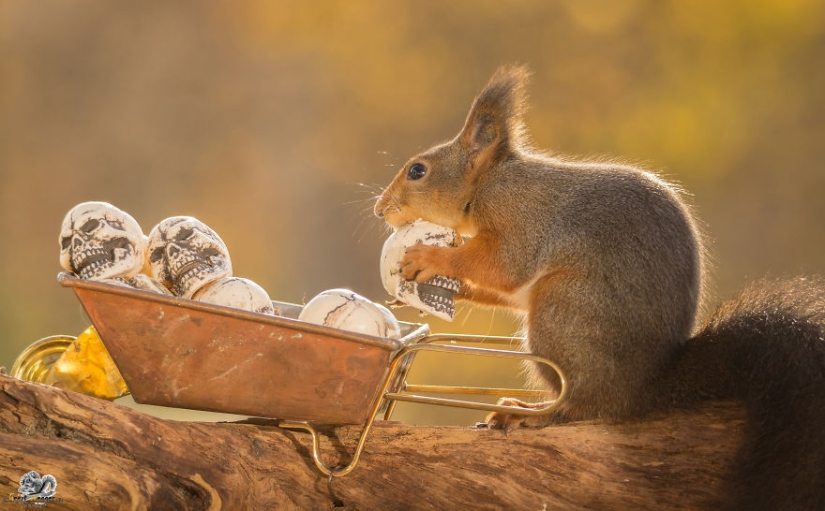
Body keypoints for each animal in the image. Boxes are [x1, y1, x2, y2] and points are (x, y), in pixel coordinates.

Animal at [374, 65, 825, 510]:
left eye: (418, 170)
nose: (380, 209)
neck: (491, 181)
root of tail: (643, 388)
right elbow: (503, 289)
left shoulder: (520, 220)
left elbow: (504, 267)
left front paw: (427, 258)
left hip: (562, 313)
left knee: (580, 407)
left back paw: (525, 414)